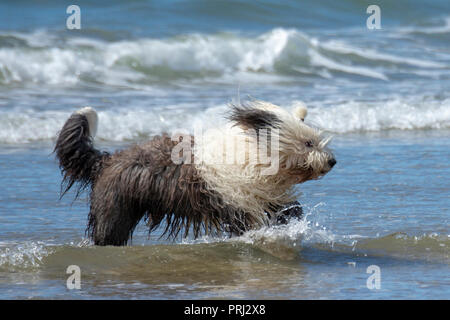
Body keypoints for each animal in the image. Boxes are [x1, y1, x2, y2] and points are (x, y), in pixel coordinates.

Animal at [54, 100, 336, 245]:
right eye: (308, 143)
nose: (332, 161)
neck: (254, 155)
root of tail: (108, 159)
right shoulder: (237, 201)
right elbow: (251, 221)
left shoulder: (266, 195)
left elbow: (288, 208)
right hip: (115, 209)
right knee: (109, 233)